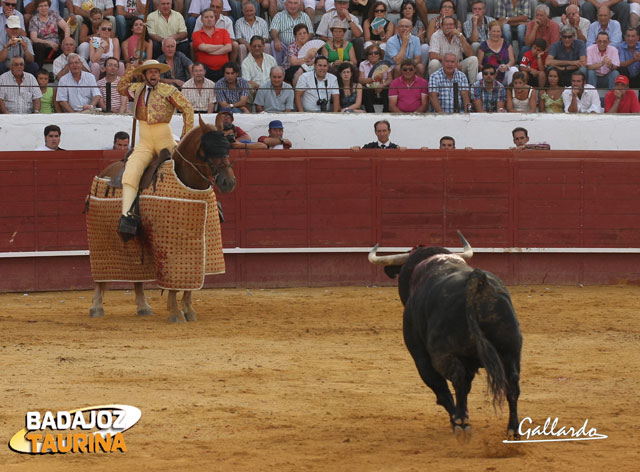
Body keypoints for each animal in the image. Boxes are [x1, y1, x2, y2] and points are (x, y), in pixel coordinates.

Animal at [86, 116, 234, 322]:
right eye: (209, 148)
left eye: (227, 147)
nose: (229, 182)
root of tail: (104, 171)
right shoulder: (171, 245)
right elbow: (173, 281)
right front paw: (175, 312)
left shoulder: (199, 243)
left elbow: (191, 280)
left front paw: (189, 310)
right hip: (102, 236)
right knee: (102, 274)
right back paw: (97, 307)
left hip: (136, 239)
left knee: (137, 275)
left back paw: (143, 306)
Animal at [368, 233, 524, 442]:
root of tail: (477, 282)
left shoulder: (421, 356)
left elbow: (441, 389)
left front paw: (458, 419)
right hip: (510, 351)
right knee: (512, 384)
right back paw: (513, 429)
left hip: (441, 354)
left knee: (456, 380)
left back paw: (460, 423)